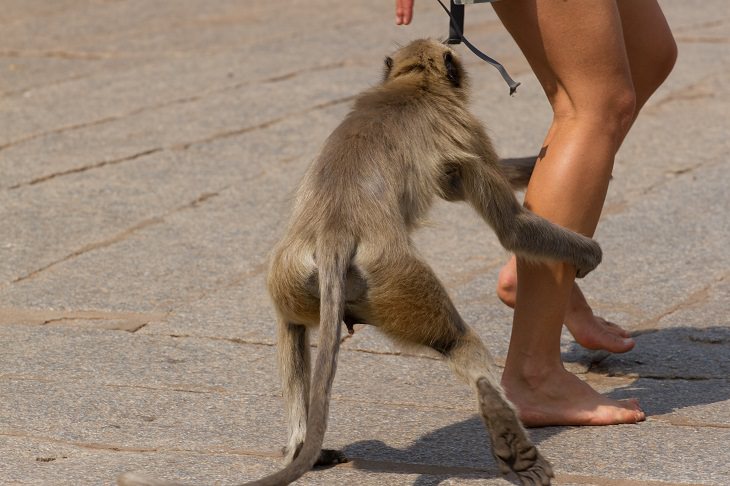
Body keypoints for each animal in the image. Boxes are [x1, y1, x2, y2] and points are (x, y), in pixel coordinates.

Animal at [118, 39, 604, 486]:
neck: (412, 83)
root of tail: (335, 233)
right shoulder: (464, 128)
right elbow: (511, 227)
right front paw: (587, 252)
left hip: (295, 277)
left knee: (290, 327)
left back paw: (303, 447)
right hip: (398, 279)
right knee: (456, 341)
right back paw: (506, 432)